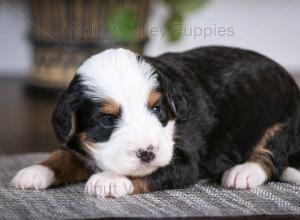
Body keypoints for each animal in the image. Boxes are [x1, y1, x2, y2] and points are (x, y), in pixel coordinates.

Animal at [11, 46, 300, 198]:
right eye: (107, 120)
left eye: (157, 108)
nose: (147, 152)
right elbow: (63, 156)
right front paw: (35, 171)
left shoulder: (185, 162)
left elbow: (149, 172)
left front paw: (110, 179)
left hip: (283, 122)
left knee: (271, 157)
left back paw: (242, 173)